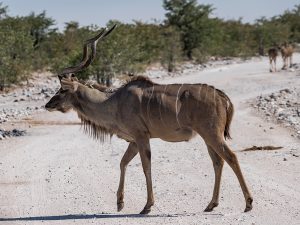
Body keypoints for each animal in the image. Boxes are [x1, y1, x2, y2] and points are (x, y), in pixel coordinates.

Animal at [45, 26, 253, 214]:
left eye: (62, 90)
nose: (48, 105)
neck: (114, 101)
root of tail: (221, 96)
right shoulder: (134, 141)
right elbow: (123, 162)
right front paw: (120, 203)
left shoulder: (141, 136)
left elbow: (146, 167)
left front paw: (147, 206)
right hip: (207, 137)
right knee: (218, 162)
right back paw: (211, 204)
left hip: (211, 134)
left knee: (231, 157)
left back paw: (248, 203)